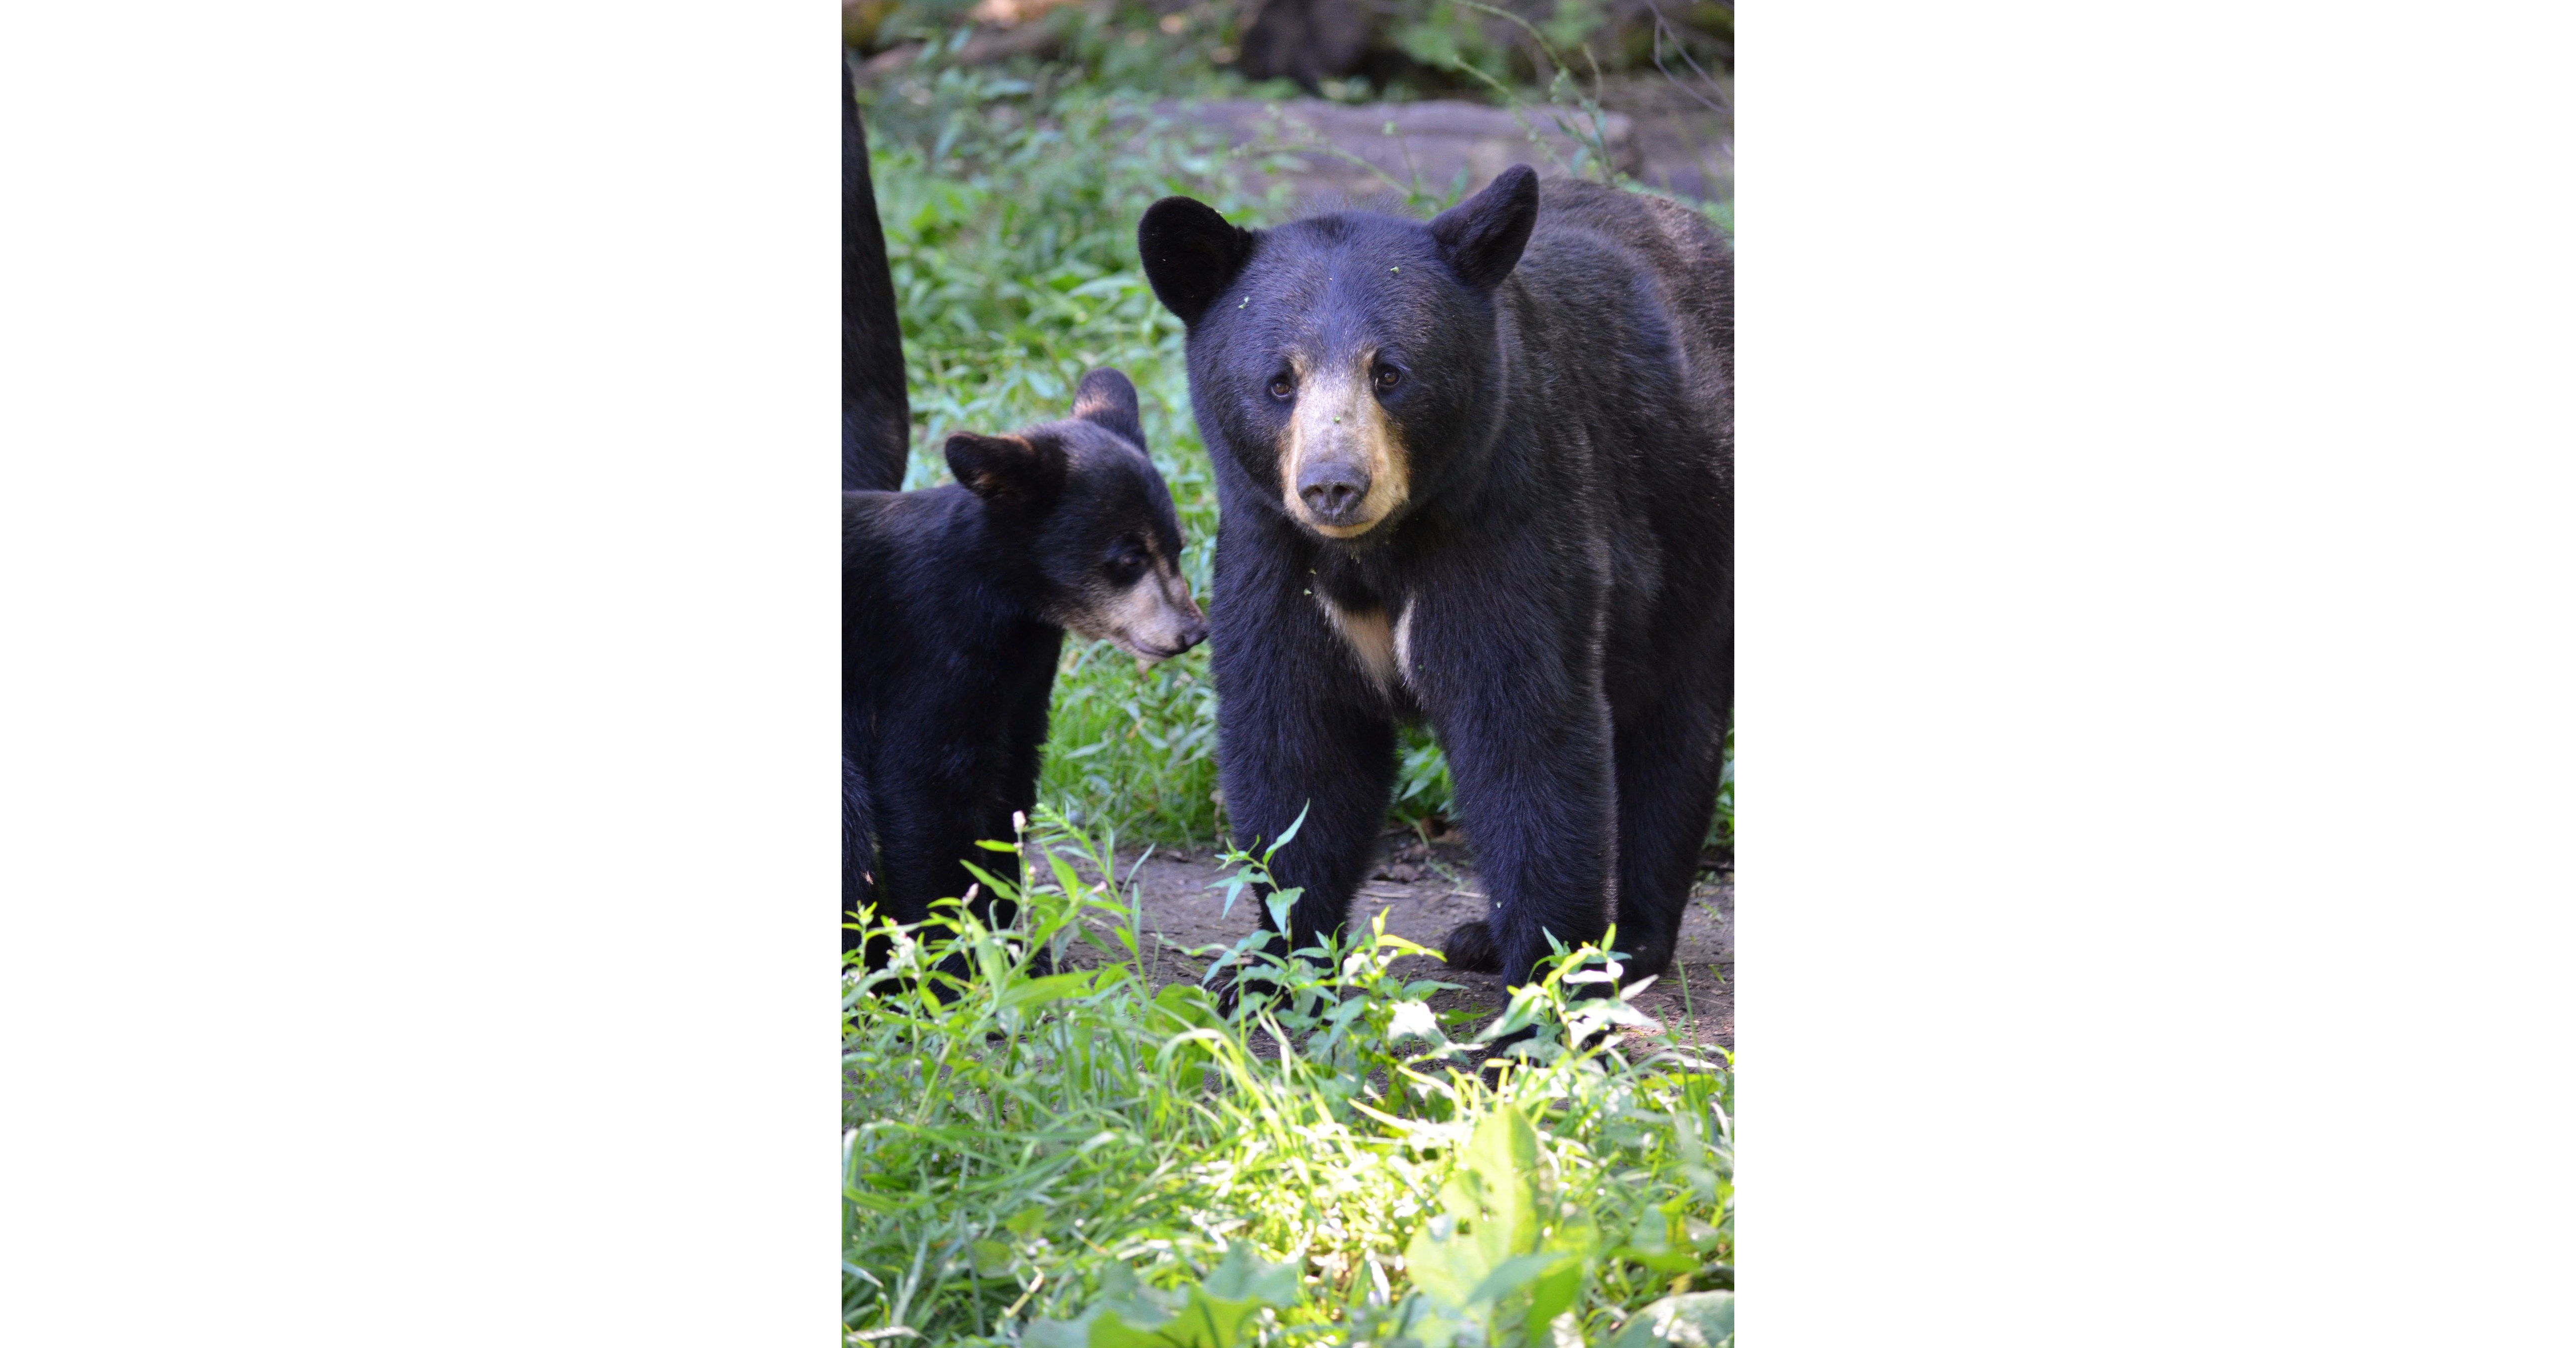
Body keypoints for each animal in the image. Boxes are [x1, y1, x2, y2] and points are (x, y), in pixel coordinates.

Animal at [843, 369, 1208, 961]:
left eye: (1178, 545)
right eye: (1129, 559)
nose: (1193, 631)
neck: (1009, 605)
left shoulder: (1023, 676)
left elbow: (1008, 788)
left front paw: (1011, 942)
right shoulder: (926, 651)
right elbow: (925, 790)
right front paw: (955, 962)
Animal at [1136, 165, 1731, 989]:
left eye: (1388, 372)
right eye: (1279, 382)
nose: (1333, 485)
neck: (1373, 549)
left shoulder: (1507, 520)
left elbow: (1527, 734)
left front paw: (1541, 983)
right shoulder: (1271, 548)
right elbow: (1297, 746)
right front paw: (1272, 967)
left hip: (1694, 534)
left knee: (1672, 741)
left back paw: (1630, 940)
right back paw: (1482, 934)